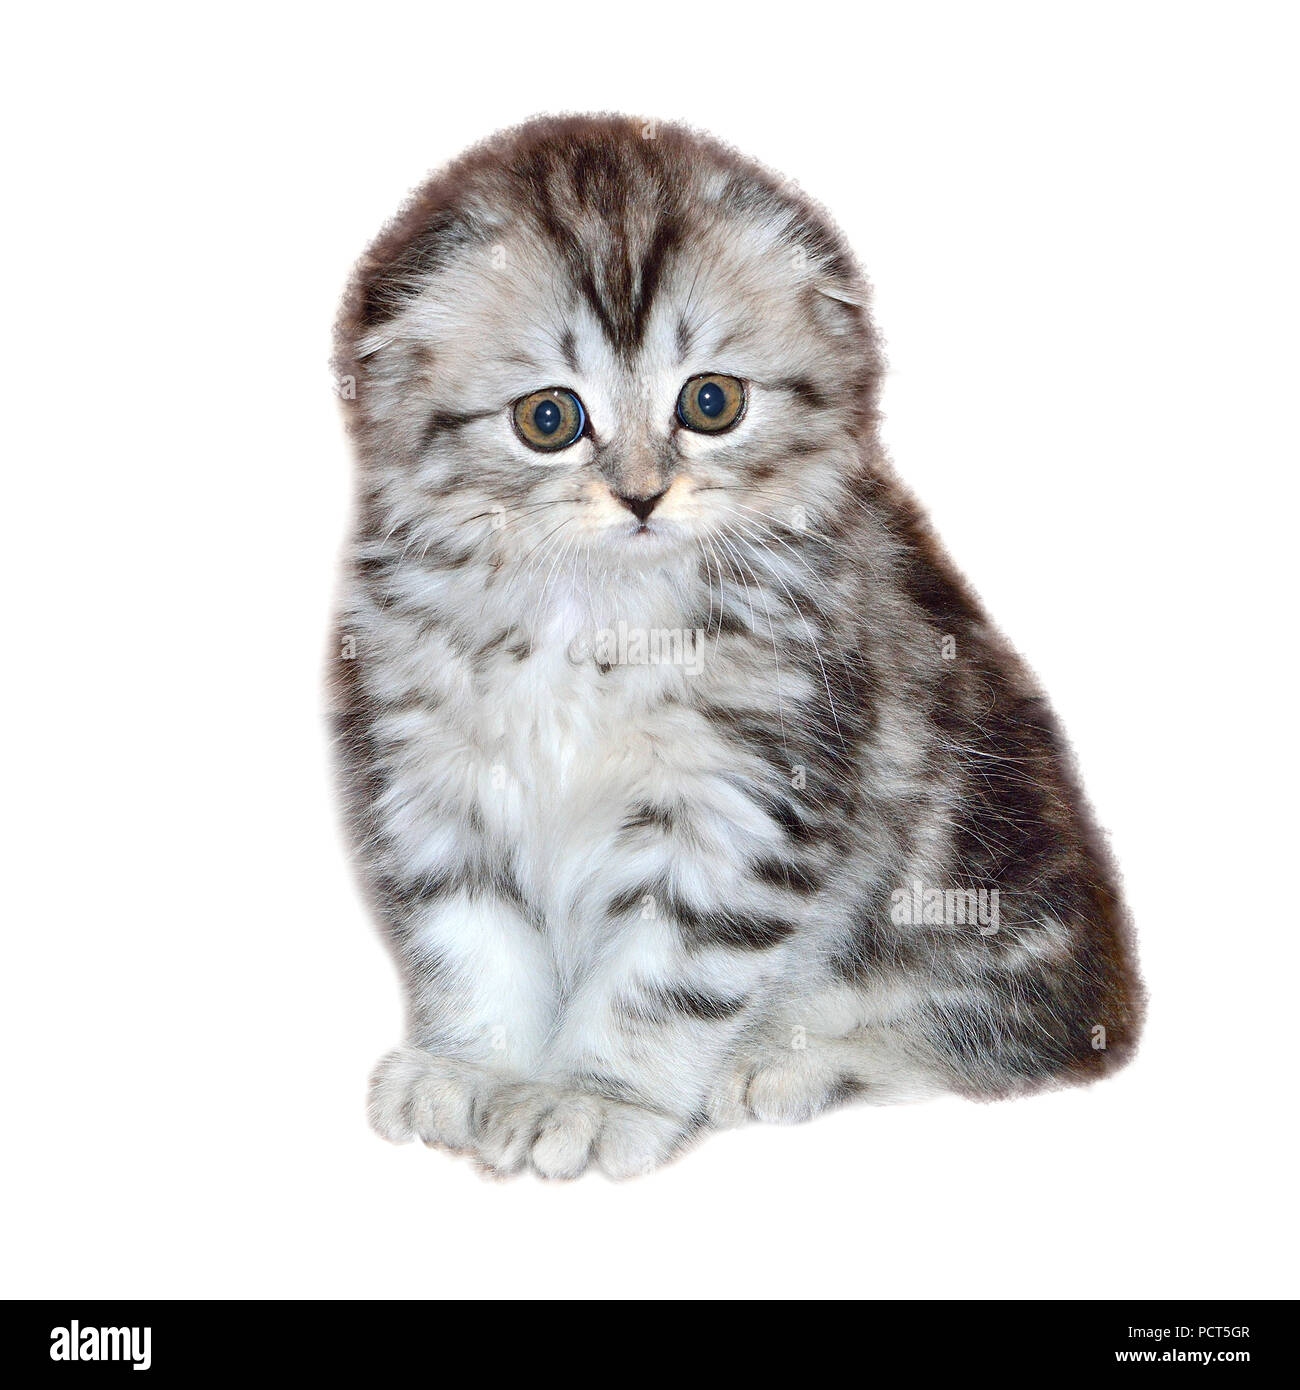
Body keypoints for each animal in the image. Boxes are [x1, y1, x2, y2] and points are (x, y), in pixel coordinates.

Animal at [330, 116, 1145, 1184]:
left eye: (710, 402)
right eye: (549, 418)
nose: (642, 496)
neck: (595, 613)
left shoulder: (744, 802)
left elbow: (661, 979)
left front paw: (594, 1098)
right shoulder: (435, 786)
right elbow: (470, 947)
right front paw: (470, 1070)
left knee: (999, 1036)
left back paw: (782, 1062)